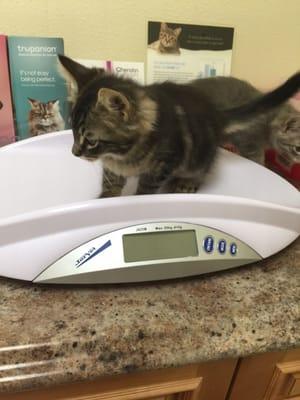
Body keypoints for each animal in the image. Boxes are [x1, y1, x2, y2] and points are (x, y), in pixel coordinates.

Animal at [58, 54, 300, 198]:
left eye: (91, 140)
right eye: (73, 132)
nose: (74, 153)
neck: (123, 155)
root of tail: (214, 113)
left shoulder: (165, 163)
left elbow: (146, 187)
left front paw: (137, 202)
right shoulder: (112, 168)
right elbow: (110, 183)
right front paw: (105, 199)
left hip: (199, 154)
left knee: (204, 166)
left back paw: (186, 181)